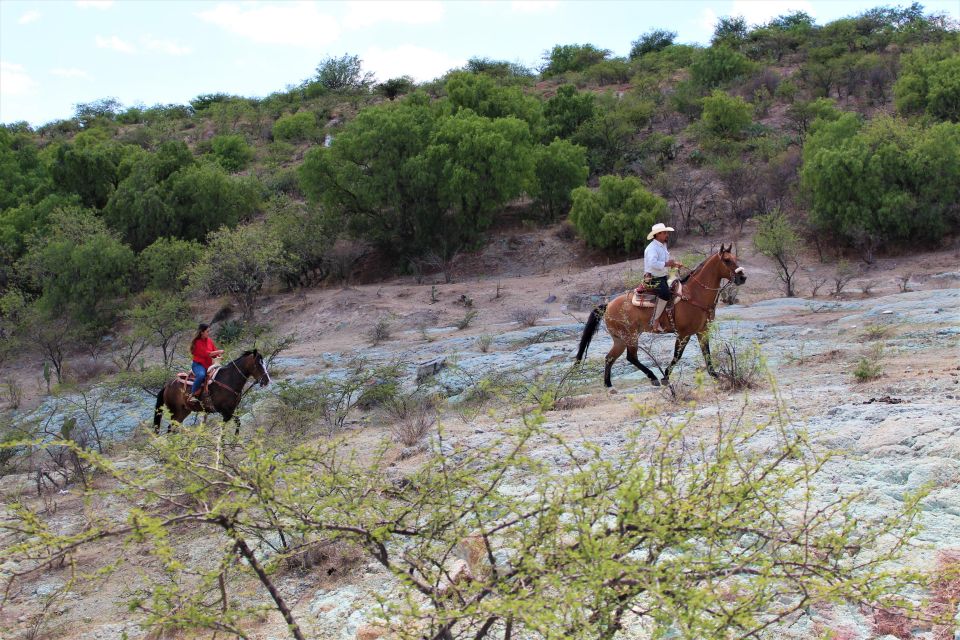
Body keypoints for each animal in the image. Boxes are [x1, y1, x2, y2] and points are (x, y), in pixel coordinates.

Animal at [572, 244, 748, 384]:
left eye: (735, 258)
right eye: (727, 260)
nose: (742, 277)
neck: (695, 294)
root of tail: (609, 304)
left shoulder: (702, 331)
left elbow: (707, 353)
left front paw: (715, 375)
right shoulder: (684, 334)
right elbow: (677, 355)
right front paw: (666, 376)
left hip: (620, 339)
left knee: (610, 357)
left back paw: (609, 385)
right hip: (630, 336)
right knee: (631, 357)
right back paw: (653, 377)